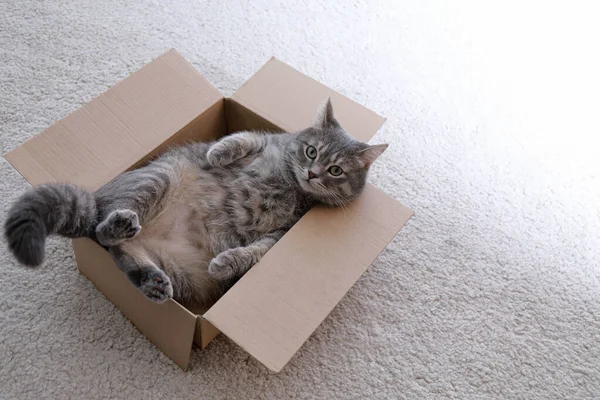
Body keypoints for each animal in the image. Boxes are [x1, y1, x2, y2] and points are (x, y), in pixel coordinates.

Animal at [4, 99, 386, 306]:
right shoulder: (266, 139)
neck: (291, 184)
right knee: (103, 231)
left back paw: (151, 281)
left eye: (335, 170)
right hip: (158, 179)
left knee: (121, 252)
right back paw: (119, 225)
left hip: (180, 271)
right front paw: (218, 153)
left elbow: (255, 252)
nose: (312, 173)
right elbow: (242, 137)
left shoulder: (282, 234)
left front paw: (228, 261)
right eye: (311, 151)